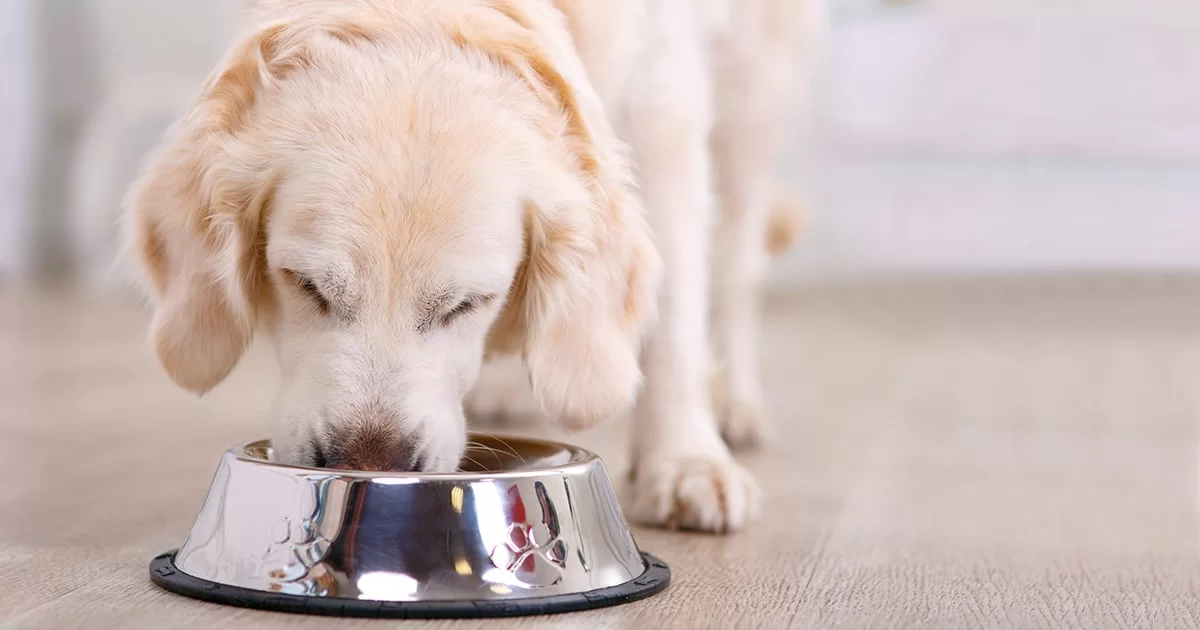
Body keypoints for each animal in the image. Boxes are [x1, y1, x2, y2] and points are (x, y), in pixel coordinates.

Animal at [126, 0, 825, 530]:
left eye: (468, 303)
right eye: (306, 285)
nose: (368, 464)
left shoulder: (664, 105)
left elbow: (676, 311)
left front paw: (684, 462)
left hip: (752, 100)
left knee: (736, 262)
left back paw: (735, 405)